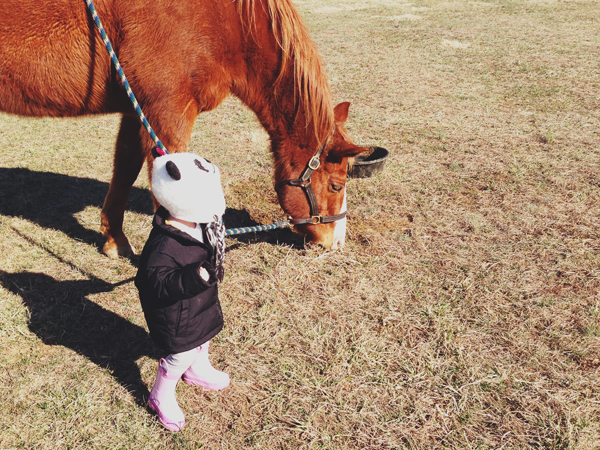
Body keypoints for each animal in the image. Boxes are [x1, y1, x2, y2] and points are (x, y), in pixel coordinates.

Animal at [0, 0, 366, 256]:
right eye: (336, 185)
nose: (335, 243)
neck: (225, 21)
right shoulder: (169, 111)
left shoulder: (139, 110)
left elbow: (125, 169)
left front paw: (114, 240)